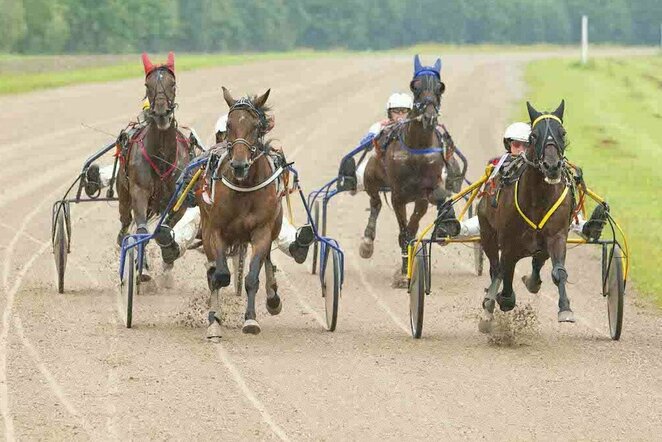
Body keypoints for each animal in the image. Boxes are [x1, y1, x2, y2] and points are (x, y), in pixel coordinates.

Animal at [358, 55, 456, 288]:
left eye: (440, 87)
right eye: (415, 86)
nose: (429, 117)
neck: (417, 149)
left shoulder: (423, 195)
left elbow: (413, 229)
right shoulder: (398, 196)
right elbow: (403, 233)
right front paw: (404, 274)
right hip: (371, 177)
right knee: (375, 203)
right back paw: (367, 241)